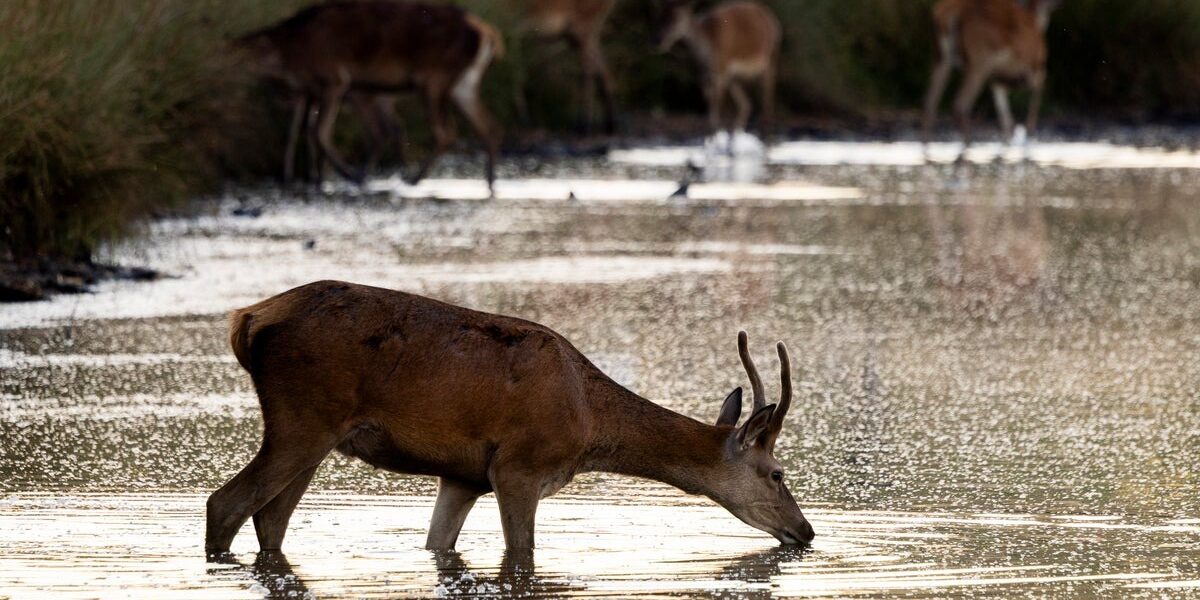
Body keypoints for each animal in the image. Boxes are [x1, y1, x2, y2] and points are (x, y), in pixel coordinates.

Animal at [205, 280, 814, 556]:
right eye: (778, 473)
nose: (806, 530)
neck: (589, 423)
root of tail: (247, 319)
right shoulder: (518, 466)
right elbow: (522, 552)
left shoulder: (464, 475)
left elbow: (438, 544)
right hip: (302, 417)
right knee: (226, 503)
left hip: (314, 432)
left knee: (270, 519)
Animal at [234, 1, 504, 191]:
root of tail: (489, 35)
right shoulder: (316, 90)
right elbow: (302, 131)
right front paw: (312, 178)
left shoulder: (337, 80)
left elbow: (320, 132)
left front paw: (346, 174)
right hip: (462, 85)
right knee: (487, 126)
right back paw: (489, 182)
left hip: (433, 79)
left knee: (445, 132)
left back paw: (413, 179)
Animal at [514, 0, 619, 134]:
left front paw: (523, 120)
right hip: (574, 35)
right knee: (602, 69)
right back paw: (609, 126)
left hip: (583, 28)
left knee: (588, 71)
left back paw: (584, 127)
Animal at [657, 0, 781, 138]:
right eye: (659, 16)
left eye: (676, 18)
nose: (657, 40)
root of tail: (773, 20)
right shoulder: (705, 75)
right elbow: (710, 101)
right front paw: (713, 135)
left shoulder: (721, 68)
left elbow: (716, 104)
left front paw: (716, 135)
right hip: (735, 75)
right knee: (747, 104)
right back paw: (738, 133)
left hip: (771, 57)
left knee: (767, 99)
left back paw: (766, 135)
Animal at [921, 0, 1063, 160]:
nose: (1058, 4)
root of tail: (945, 14)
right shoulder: (1036, 68)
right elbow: (1034, 102)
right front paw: (1029, 140)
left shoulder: (996, 80)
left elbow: (1006, 117)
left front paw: (1007, 143)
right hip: (980, 60)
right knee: (960, 103)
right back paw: (967, 146)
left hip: (940, 58)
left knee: (929, 101)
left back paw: (927, 148)